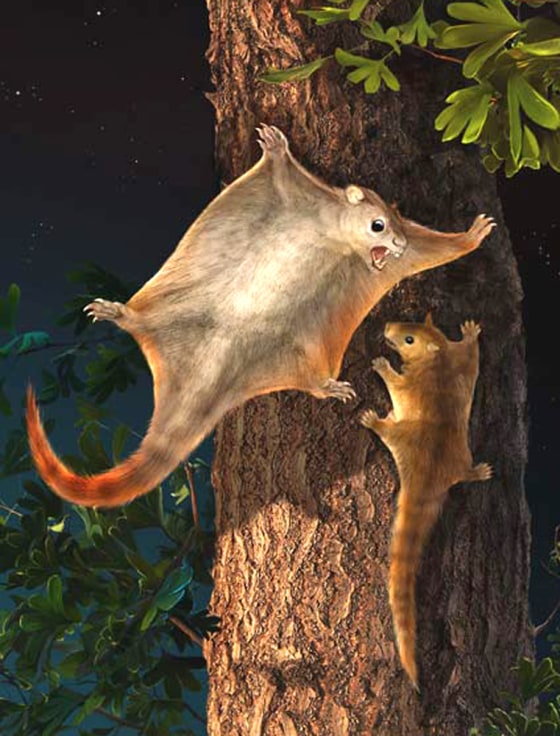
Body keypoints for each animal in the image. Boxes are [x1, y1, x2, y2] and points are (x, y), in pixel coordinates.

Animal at [26, 125, 495, 508]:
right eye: (378, 224)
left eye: (399, 221)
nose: (397, 245)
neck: (331, 231)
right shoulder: (295, 195)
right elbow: (283, 173)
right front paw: (276, 147)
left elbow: (434, 248)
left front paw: (470, 235)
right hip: (175, 311)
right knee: (141, 322)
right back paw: (118, 311)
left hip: (295, 348)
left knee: (307, 377)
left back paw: (327, 385)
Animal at [360, 314, 493, 689]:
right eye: (408, 323)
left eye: (408, 340)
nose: (386, 328)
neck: (436, 358)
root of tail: (430, 473)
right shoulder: (461, 364)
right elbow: (473, 357)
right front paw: (471, 332)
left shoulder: (413, 384)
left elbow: (398, 383)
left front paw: (383, 365)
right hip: (462, 457)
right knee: (464, 474)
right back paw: (478, 472)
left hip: (402, 435)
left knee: (388, 432)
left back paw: (374, 421)